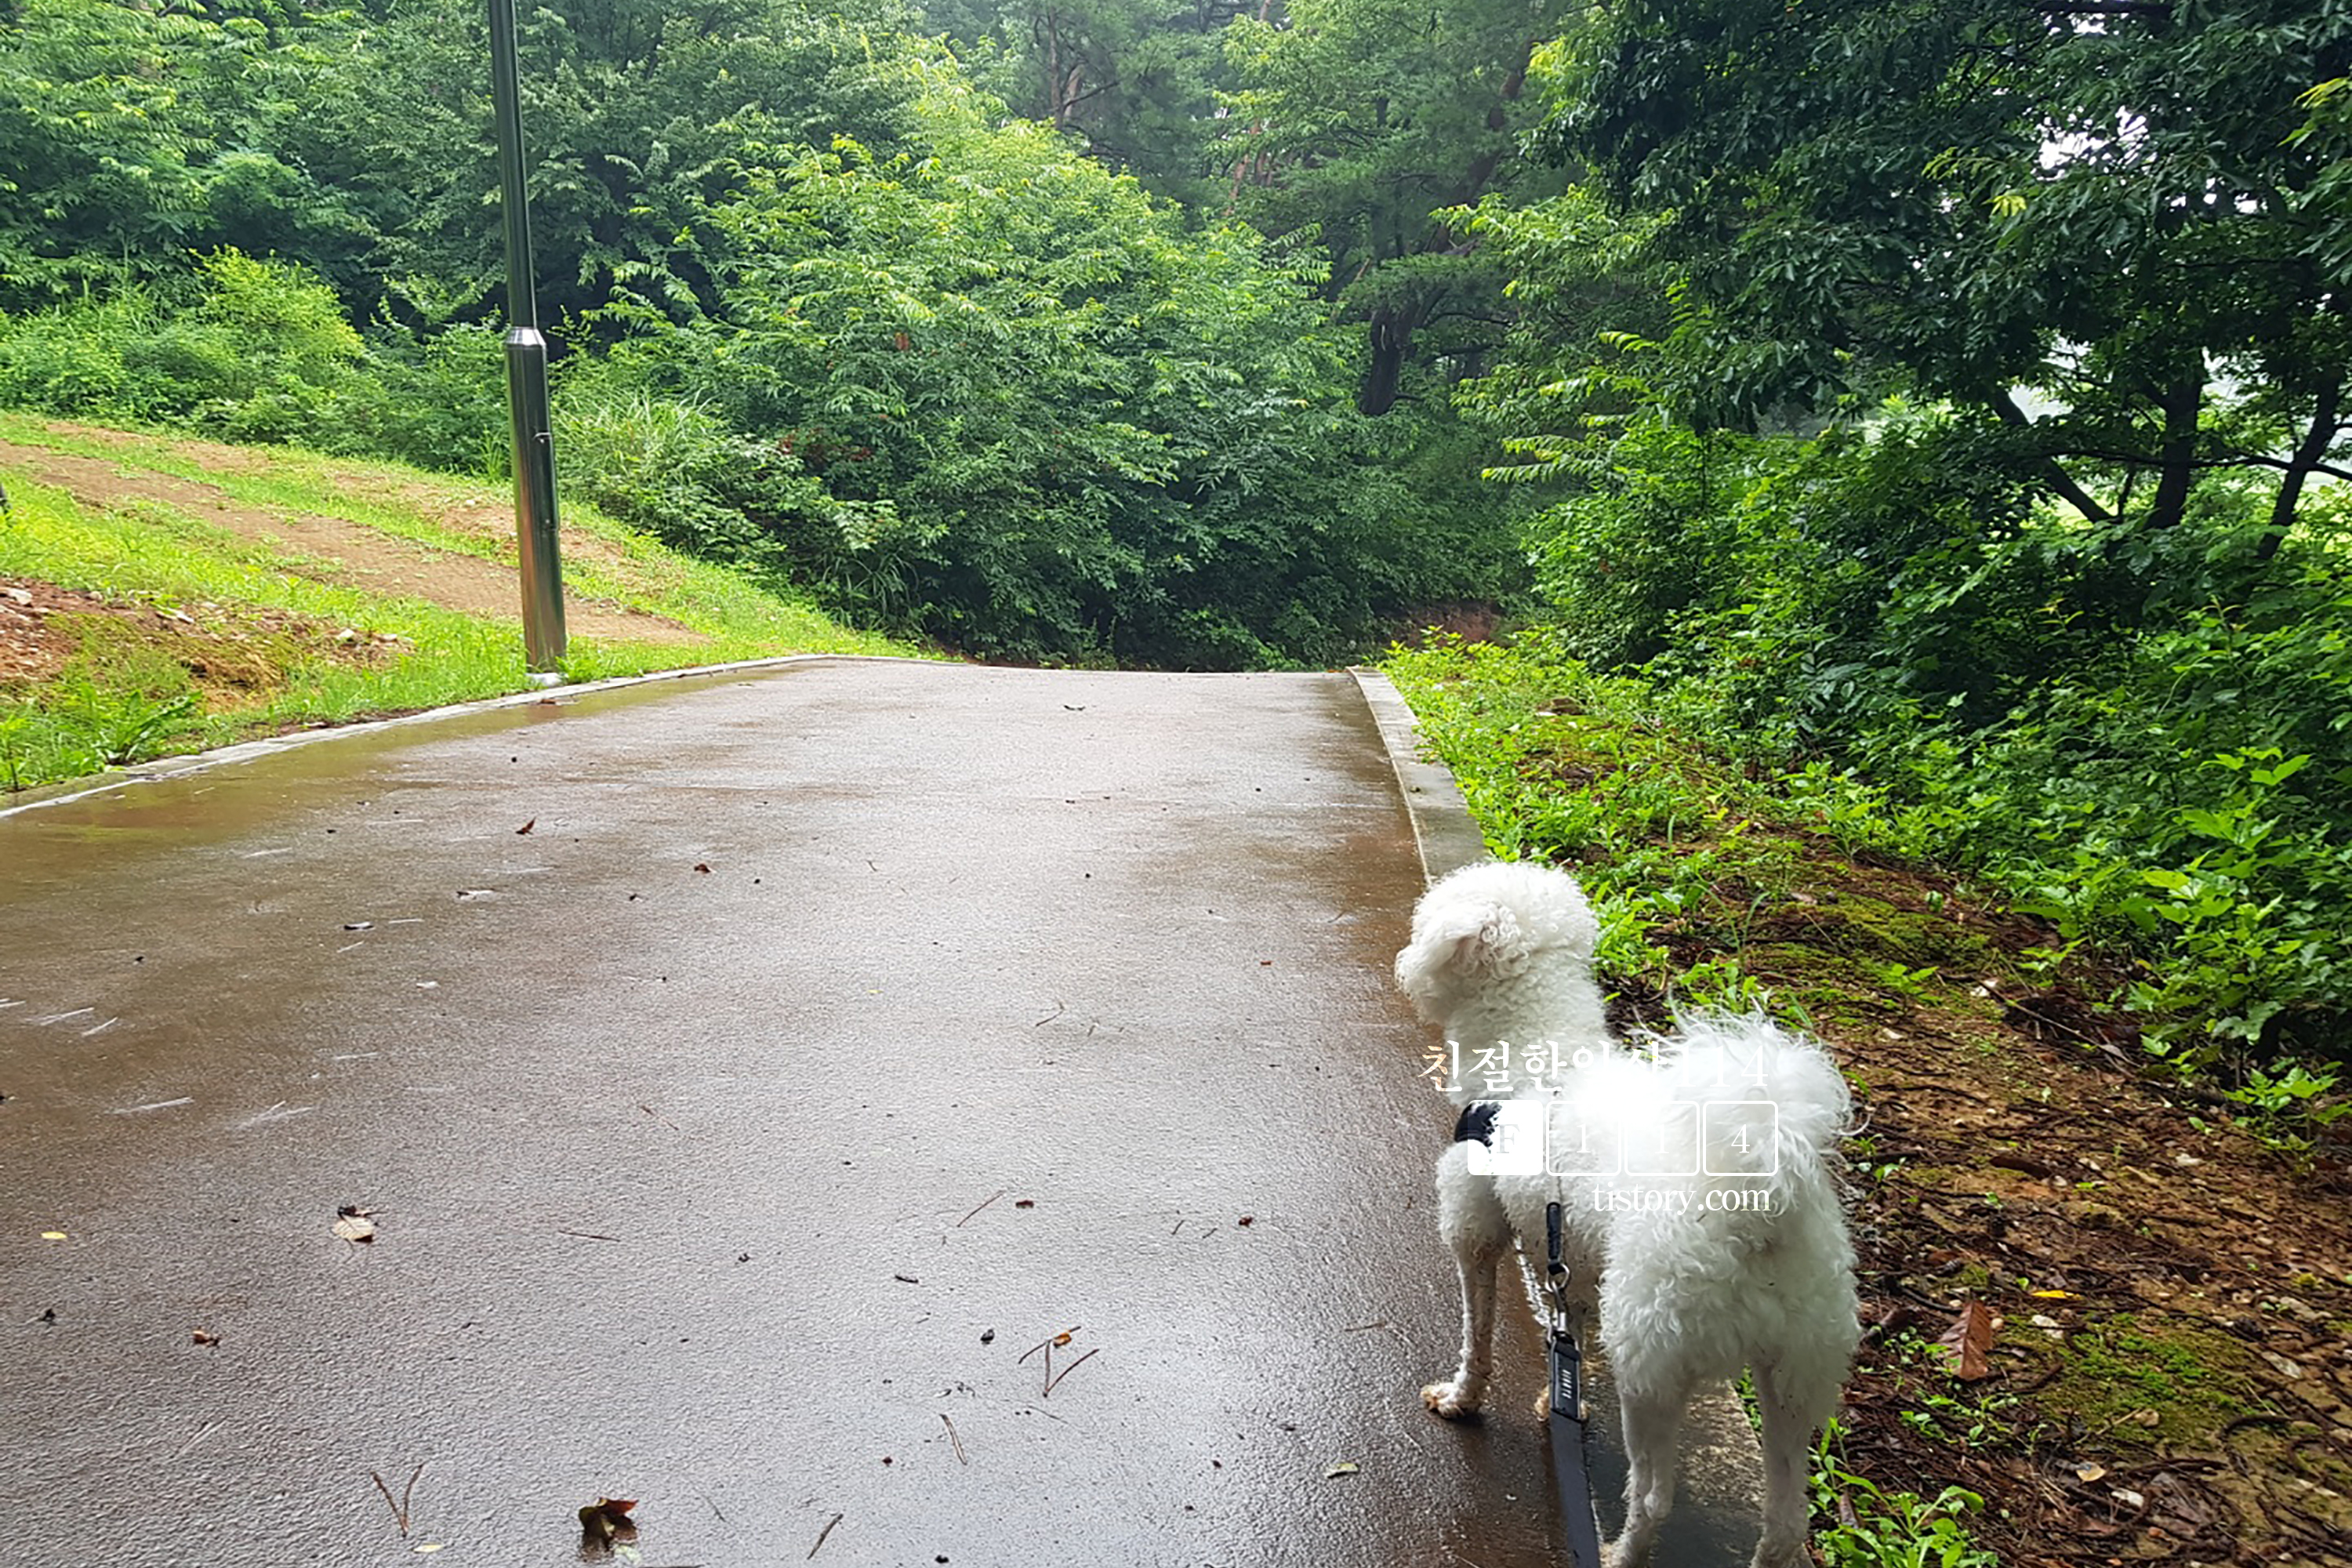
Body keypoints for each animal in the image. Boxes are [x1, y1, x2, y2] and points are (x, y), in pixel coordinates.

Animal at [1396, 860, 1860, 1568]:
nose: (1403, 960)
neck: (1537, 1049)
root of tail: (1761, 1207)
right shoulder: (1575, 1259)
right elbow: (1567, 1330)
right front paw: (1558, 1400)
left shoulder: (1475, 1231)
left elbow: (1478, 1334)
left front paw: (1460, 1399)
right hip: (1797, 1370)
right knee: (1786, 1522)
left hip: (1650, 1361)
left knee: (1653, 1495)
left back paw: (1618, 1552)